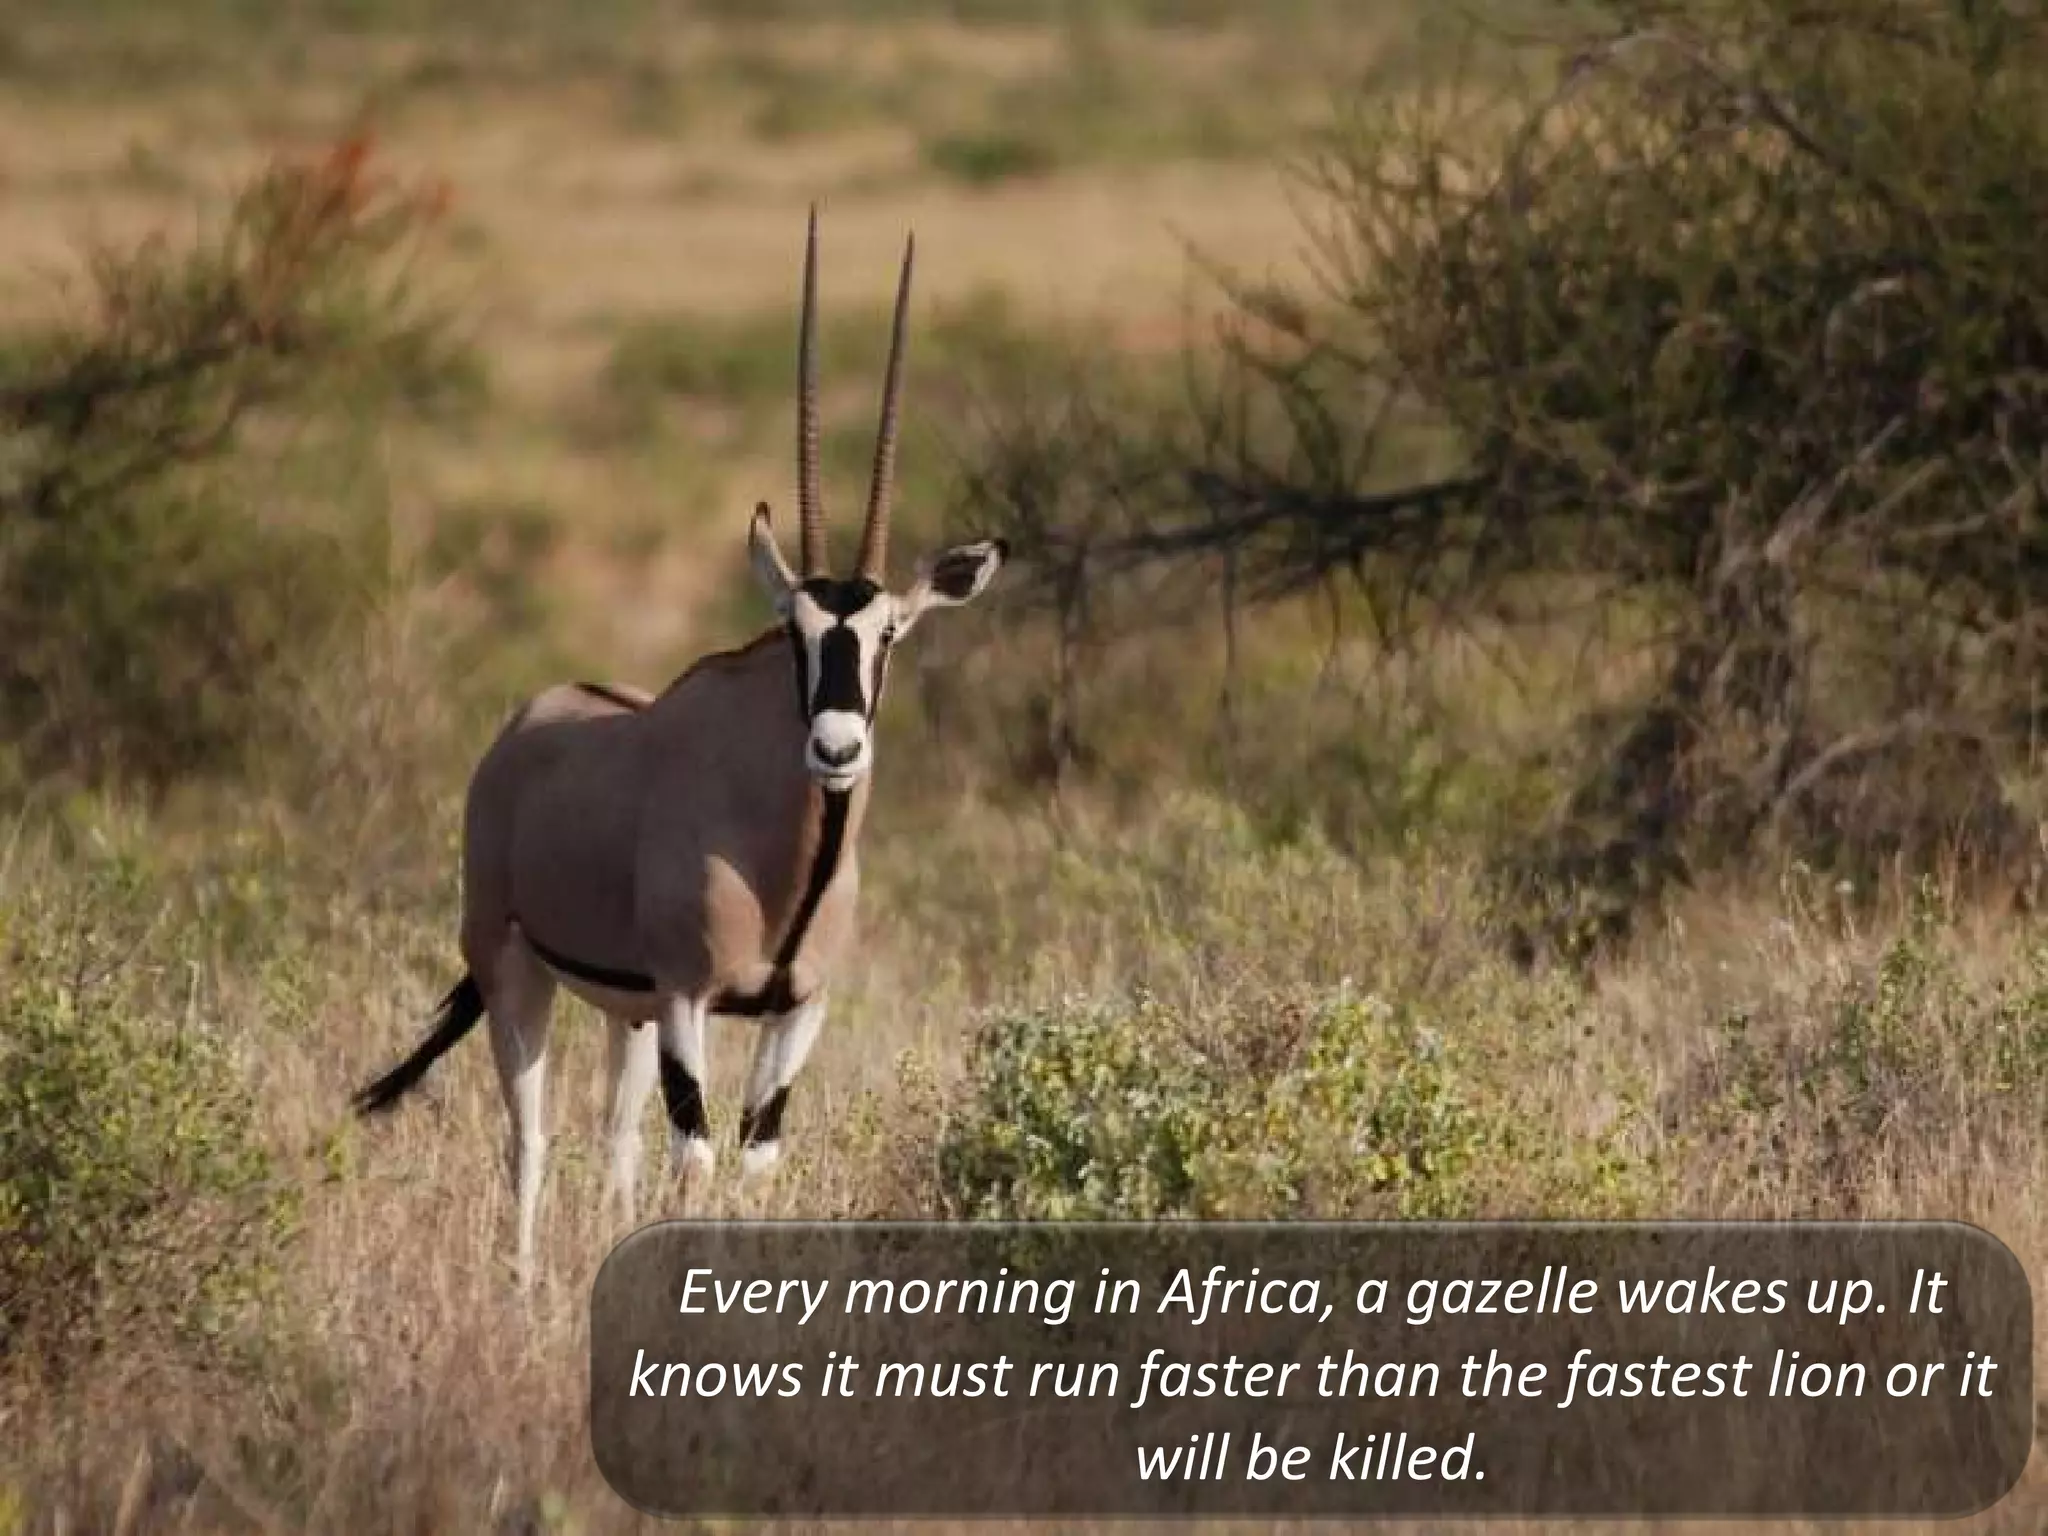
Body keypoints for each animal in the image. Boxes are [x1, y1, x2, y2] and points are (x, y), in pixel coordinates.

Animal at [351, 209, 1006, 1286]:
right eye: (792, 628)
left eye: (889, 634)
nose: (835, 749)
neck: (787, 857)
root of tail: (528, 723)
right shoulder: (690, 999)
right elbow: (693, 1159)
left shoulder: (796, 1008)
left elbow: (754, 1159)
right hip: (515, 968)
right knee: (529, 1139)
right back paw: (524, 1283)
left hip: (627, 1009)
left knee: (612, 1139)